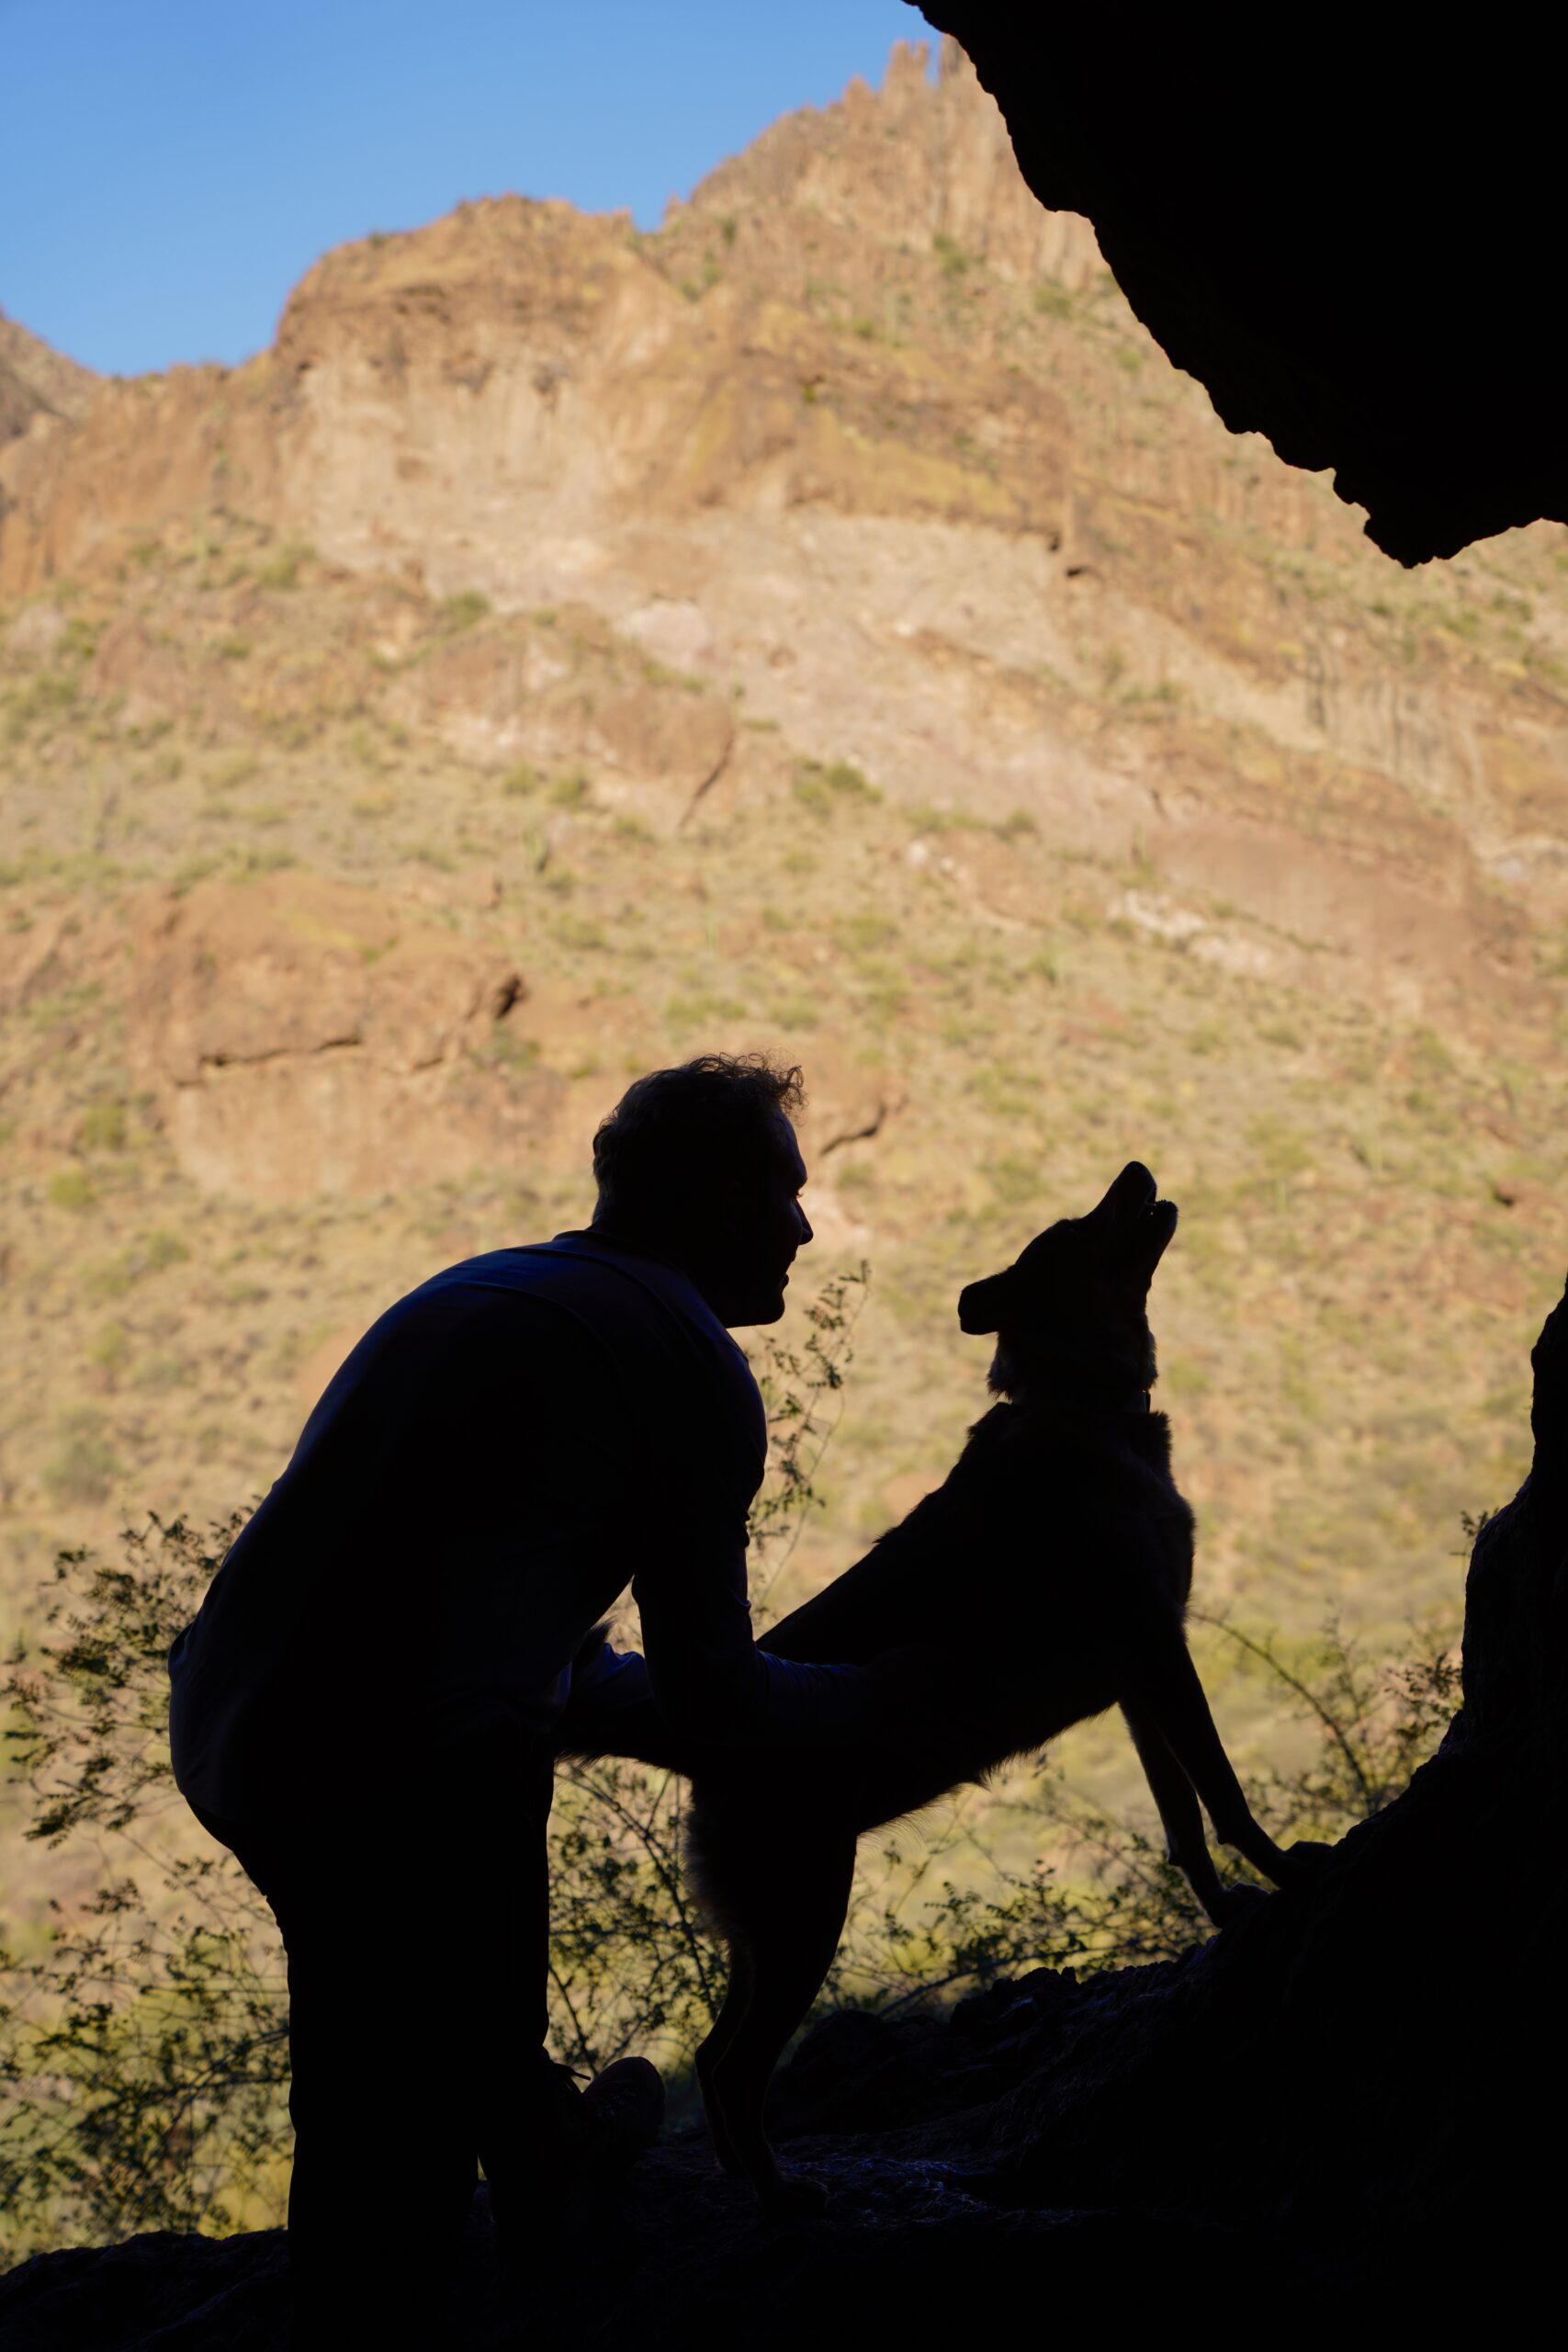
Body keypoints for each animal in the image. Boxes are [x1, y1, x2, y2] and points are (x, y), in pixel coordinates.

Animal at [564, 1166, 1325, 2211]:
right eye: (1073, 1231)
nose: (1134, 1172)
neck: (1080, 1401)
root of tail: (694, 1728)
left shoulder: (1137, 1681)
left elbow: (1181, 1823)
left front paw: (1223, 1917)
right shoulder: (1159, 1649)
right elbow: (1224, 1792)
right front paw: (1290, 1876)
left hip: (762, 1925)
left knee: (717, 2057)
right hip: (806, 1910)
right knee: (734, 2066)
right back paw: (780, 2192)